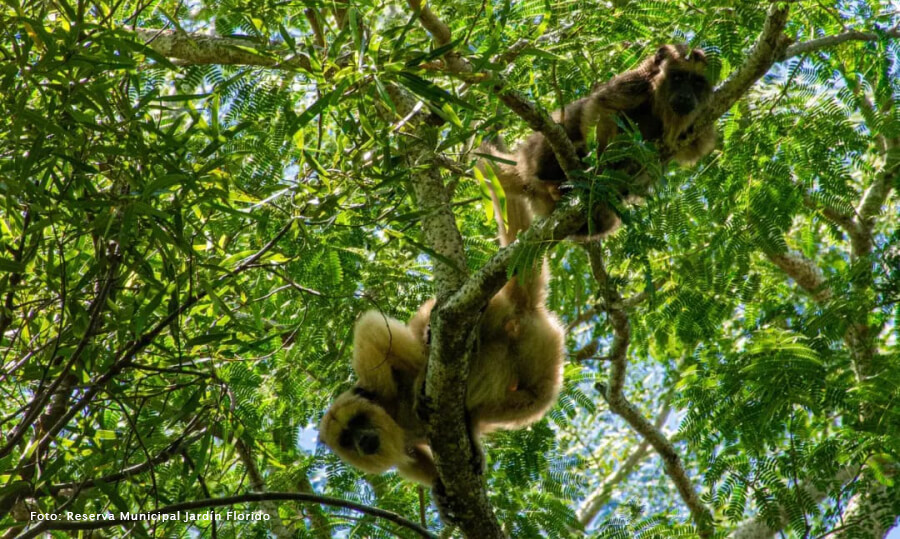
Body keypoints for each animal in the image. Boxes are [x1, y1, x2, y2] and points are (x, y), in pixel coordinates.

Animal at [318, 196, 565, 486]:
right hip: (541, 345)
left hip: (498, 313)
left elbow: (373, 329)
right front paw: (440, 488)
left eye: (358, 421)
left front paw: (419, 379)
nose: (360, 441)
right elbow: (417, 462)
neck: (394, 418)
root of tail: (521, 308)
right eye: (346, 439)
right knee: (537, 397)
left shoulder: (378, 387)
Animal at [482, 44, 717, 238]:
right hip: (535, 154)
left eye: (697, 82)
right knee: (566, 124)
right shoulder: (635, 82)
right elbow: (601, 108)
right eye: (678, 78)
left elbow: (694, 148)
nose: (686, 97)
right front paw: (601, 168)